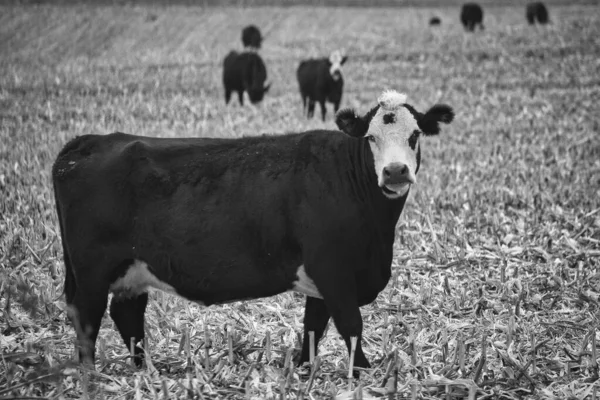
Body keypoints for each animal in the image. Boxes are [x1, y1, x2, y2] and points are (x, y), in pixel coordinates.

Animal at [52, 90, 454, 376]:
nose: (396, 171)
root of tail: (90, 141)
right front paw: (366, 375)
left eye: (415, 134)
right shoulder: (333, 270)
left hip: (131, 269)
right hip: (92, 271)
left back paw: (146, 371)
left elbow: (314, 326)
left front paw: (300, 371)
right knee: (87, 318)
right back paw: (91, 377)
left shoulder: (322, 280)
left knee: (127, 314)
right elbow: (350, 324)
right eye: (371, 138)